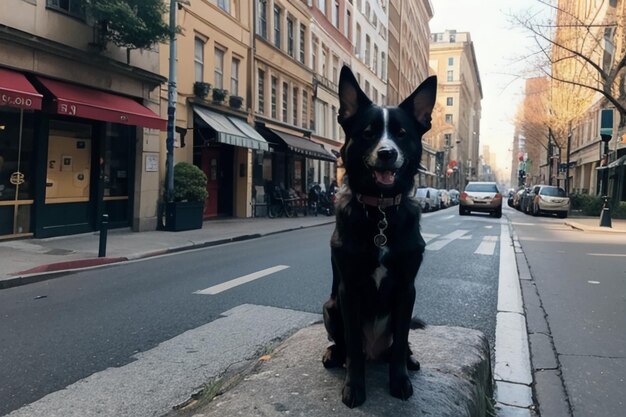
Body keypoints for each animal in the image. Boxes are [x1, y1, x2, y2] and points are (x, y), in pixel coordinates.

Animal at [320, 65, 436, 406]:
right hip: (330, 308)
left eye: (402, 133)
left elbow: (399, 345)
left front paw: (399, 380)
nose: (387, 153)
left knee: (400, 343)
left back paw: (409, 359)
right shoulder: (348, 290)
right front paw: (354, 387)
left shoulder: (407, 290)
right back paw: (335, 355)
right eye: (368, 132)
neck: (381, 211)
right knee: (347, 345)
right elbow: (353, 349)